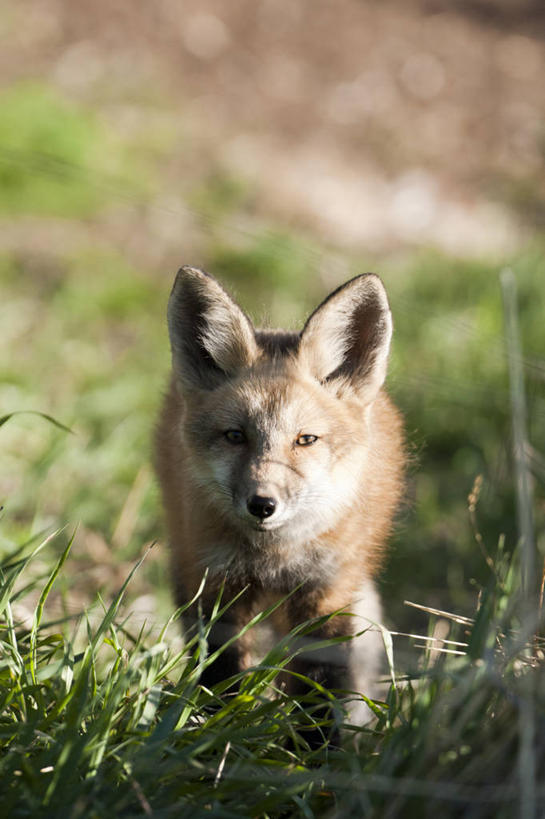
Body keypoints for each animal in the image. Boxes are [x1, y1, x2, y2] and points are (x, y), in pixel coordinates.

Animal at [153, 268, 404, 732]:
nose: (262, 505)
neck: (273, 558)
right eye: (236, 435)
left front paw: (316, 747)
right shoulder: (214, 584)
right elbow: (221, 674)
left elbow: (321, 685)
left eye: (305, 440)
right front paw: (214, 731)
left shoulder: (326, 593)